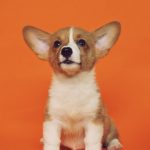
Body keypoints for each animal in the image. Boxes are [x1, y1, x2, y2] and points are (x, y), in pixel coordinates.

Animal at [22, 21, 122, 150]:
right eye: (57, 44)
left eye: (82, 42)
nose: (66, 50)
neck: (72, 84)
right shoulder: (52, 121)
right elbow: (52, 141)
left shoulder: (93, 122)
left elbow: (92, 142)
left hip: (109, 124)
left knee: (112, 136)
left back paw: (115, 144)